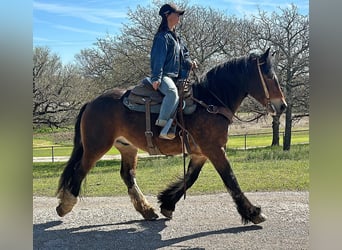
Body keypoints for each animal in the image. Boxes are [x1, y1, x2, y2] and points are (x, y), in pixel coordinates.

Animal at [55, 48, 286, 225]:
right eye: (269, 76)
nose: (282, 105)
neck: (209, 102)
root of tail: (92, 102)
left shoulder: (201, 153)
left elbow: (190, 178)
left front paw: (167, 203)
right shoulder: (214, 149)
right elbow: (230, 179)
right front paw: (253, 212)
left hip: (127, 147)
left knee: (127, 175)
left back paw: (146, 210)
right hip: (96, 147)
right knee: (80, 170)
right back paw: (65, 205)